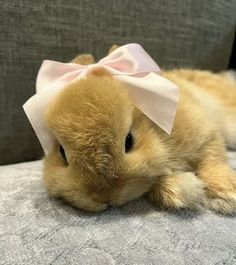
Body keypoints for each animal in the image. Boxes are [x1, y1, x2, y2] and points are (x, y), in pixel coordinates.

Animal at [42, 46, 236, 212]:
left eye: (129, 141)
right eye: (61, 152)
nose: (104, 198)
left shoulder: (206, 134)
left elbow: (213, 160)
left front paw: (227, 196)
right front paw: (184, 189)